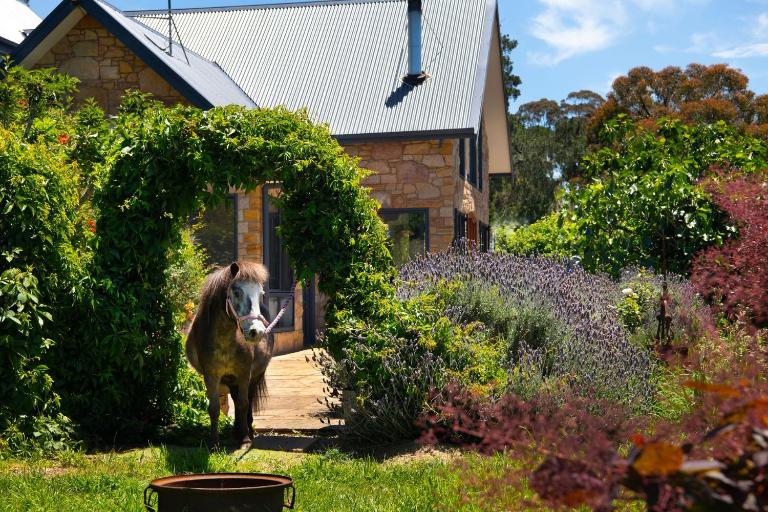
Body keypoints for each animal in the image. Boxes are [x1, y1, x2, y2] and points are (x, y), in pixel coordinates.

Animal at [186, 261, 273, 446]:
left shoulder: (244, 373)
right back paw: (236, 432)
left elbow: (244, 404)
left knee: (247, 400)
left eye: (260, 294)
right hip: (232, 380)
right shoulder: (211, 376)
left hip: (254, 376)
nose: (257, 332)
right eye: (237, 292)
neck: (224, 339)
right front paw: (214, 442)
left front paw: (245, 439)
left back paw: (247, 431)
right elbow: (214, 408)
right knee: (235, 399)